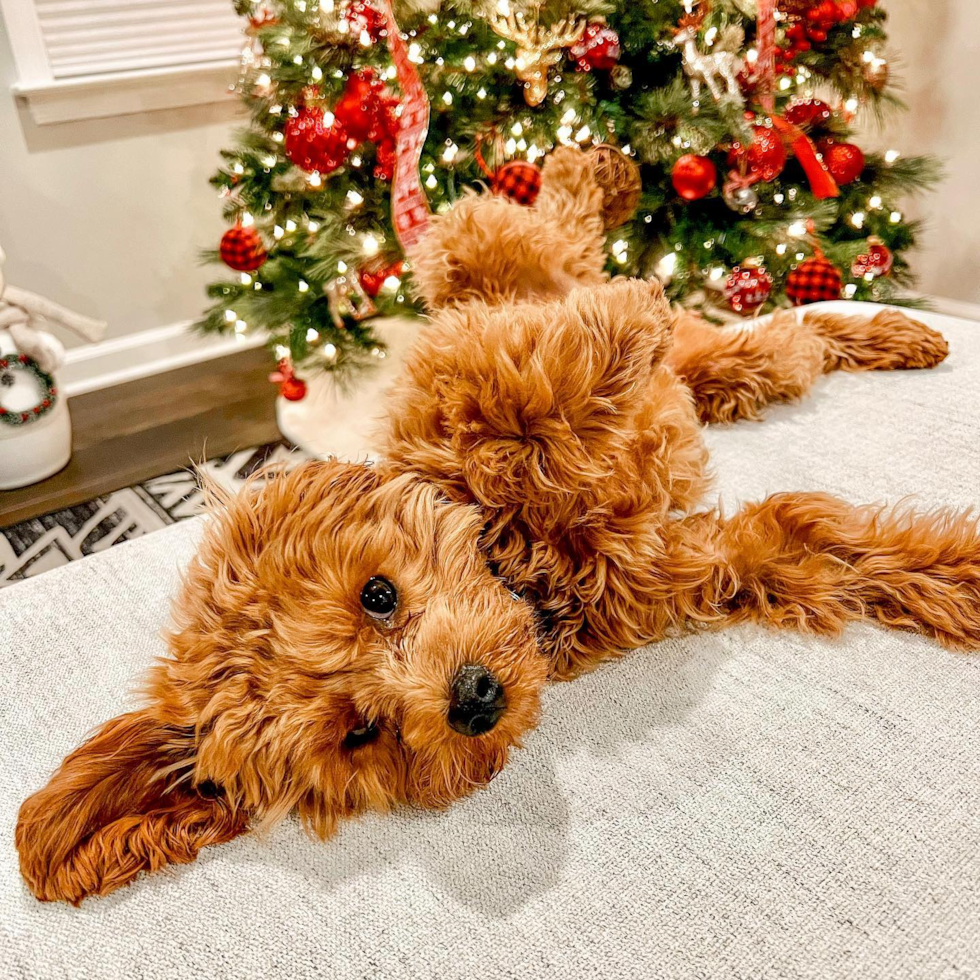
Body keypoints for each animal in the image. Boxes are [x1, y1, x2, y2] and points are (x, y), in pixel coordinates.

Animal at [19, 147, 976, 904]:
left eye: (378, 595)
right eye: (359, 734)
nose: (473, 699)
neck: (527, 566)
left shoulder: (480, 383)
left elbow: (532, 396)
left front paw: (614, 334)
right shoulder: (710, 560)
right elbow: (838, 548)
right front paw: (962, 582)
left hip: (487, 261)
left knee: (530, 227)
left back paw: (606, 182)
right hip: (728, 374)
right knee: (786, 342)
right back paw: (886, 335)